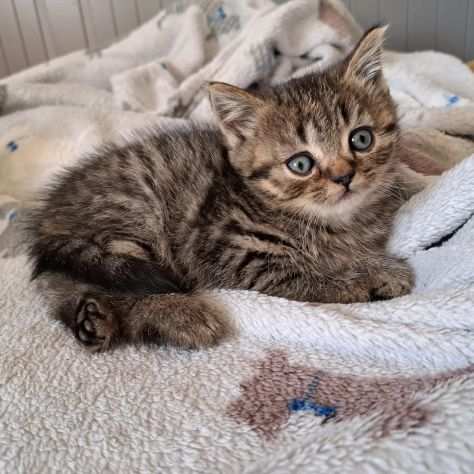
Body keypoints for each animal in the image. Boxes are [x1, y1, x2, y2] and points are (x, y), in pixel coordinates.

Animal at [25, 26, 412, 352]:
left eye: (361, 139)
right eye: (301, 164)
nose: (344, 177)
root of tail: (48, 215)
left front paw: (370, 262)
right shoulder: (234, 251)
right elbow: (307, 275)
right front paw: (369, 276)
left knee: (61, 284)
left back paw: (95, 320)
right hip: (132, 213)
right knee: (122, 281)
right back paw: (180, 316)